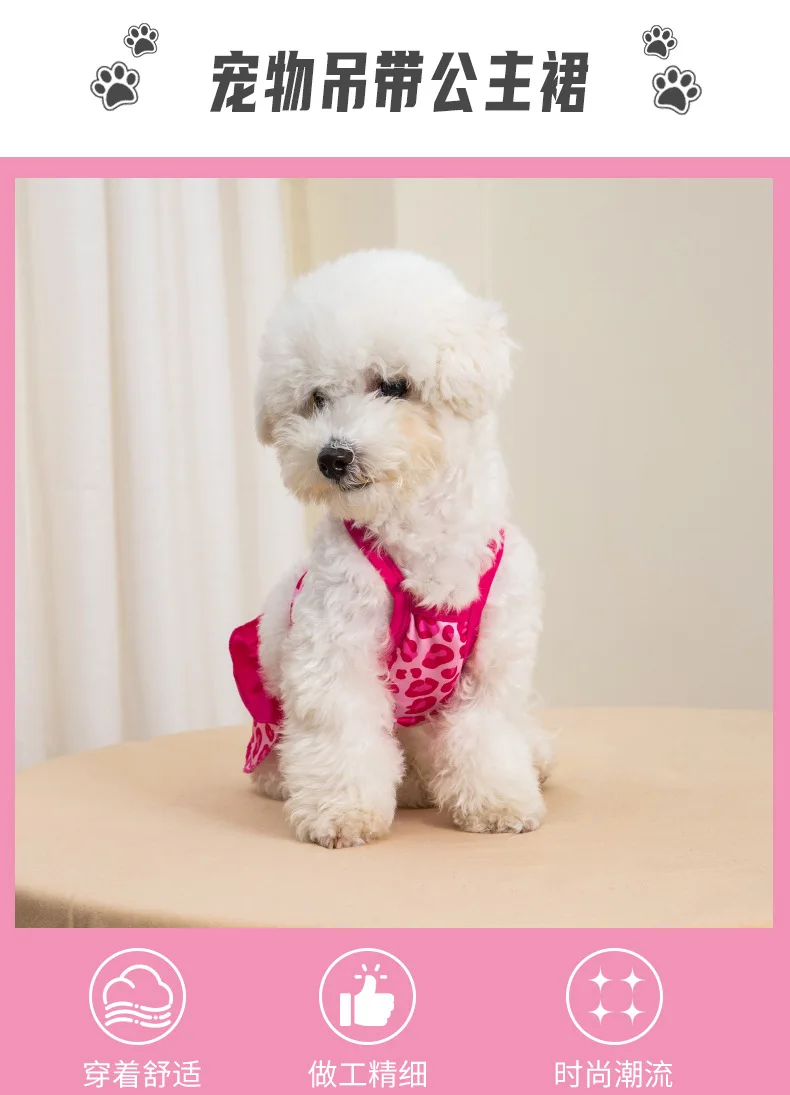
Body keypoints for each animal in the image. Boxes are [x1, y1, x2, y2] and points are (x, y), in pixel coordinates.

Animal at [230, 249, 553, 847]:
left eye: (394, 386)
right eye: (316, 399)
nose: (332, 457)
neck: (420, 529)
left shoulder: (494, 659)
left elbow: (489, 731)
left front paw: (499, 801)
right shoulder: (337, 645)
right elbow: (342, 732)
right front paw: (340, 813)